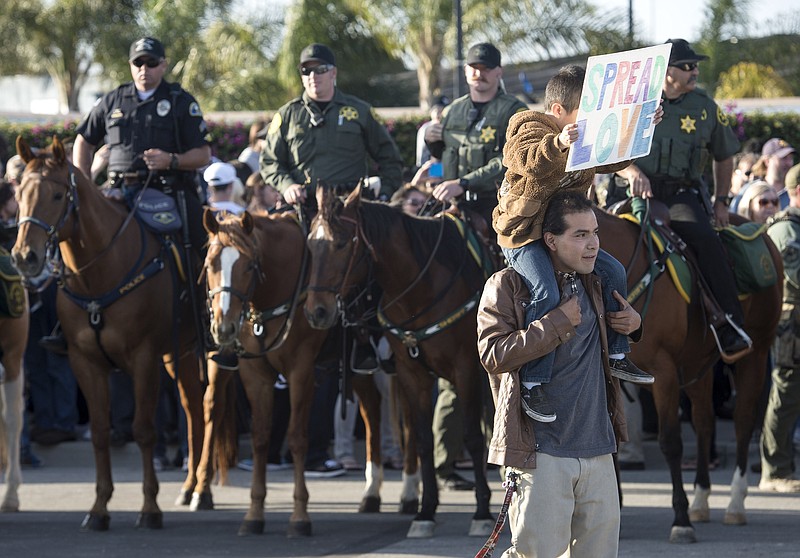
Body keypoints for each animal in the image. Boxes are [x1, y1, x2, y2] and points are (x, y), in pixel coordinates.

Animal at [10, 138, 205, 532]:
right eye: (19, 193)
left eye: (57, 195)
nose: (25, 257)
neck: (100, 273)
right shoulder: (86, 362)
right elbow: (99, 431)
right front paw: (99, 507)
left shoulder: (143, 360)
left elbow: (144, 430)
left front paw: (150, 508)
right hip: (180, 354)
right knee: (193, 409)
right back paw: (190, 487)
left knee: (208, 412)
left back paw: (203, 490)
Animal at [199, 209, 410, 540]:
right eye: (210, 264)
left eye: (248, 265)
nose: (223, 327)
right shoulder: (255, 373)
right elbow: (261, 436)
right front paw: (254, 513)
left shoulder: (301, 371)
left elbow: (298, 437)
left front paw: (299, 516)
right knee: (372, 412)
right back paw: (372, 493)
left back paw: (410, 494)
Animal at [306, 187, 494, 540]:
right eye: (310, 245)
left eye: (341, 243)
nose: (316, 311)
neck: (420, 286)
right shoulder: (411, 372)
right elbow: (422, 438)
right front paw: (425, 511)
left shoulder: (466, 368)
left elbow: (474, 437)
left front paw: (482, 512)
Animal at [600, 208, 780, 544]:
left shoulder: (664, 372)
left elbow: (670, 441)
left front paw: (680, 519)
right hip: (698, 364)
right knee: (704, 421)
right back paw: (701, 500)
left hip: (757, 352)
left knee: (743, 420)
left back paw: (735, 503)